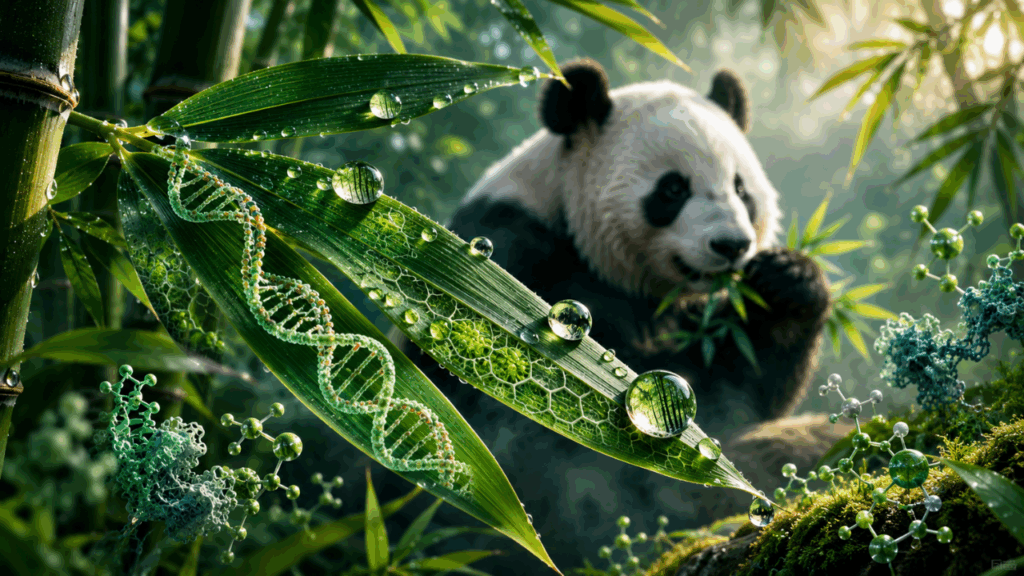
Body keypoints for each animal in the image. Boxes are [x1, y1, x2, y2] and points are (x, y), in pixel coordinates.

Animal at [398, 60, 841, 572]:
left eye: (741, 189)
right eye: (673, 189)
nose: (732, 246)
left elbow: (748, 389)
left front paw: (786, 280)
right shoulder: (507, 258)